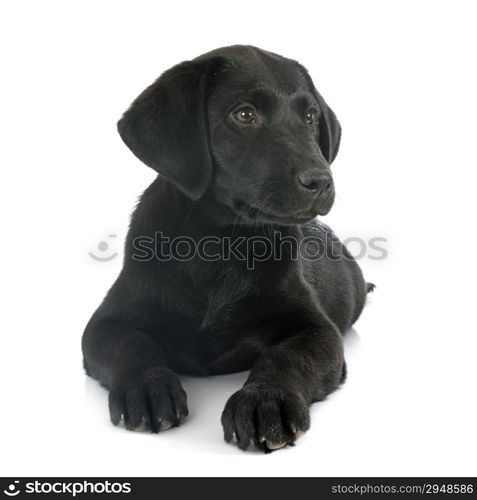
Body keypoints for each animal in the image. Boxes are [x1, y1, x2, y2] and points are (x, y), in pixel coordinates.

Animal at [82, 46, 372, 454]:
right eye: (244, 114)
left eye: (310, 116)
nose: (321, 181)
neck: (219, 244)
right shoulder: (106, 321)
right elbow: (130, 343)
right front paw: (147, 385)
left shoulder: (315, 329)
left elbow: (285, 357)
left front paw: (265, 400)